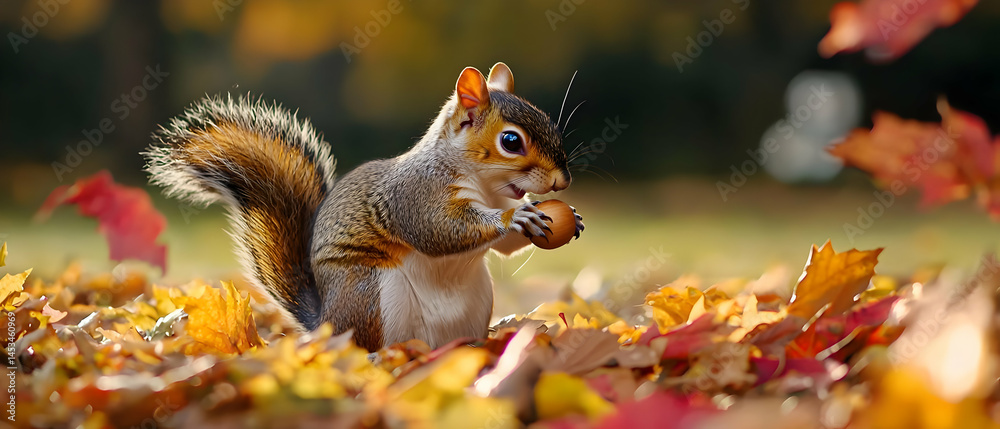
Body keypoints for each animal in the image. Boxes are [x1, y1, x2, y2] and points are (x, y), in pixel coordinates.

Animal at [143, 62, 583, 351]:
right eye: (511, 141)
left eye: (547, 120)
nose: (562, 182)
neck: (487, 188)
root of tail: (324, 324)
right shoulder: (415, 195)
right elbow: (439, 230)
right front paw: (517, 216)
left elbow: (502, 247)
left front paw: (567, 219)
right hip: (369, 294)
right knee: (364, 346)